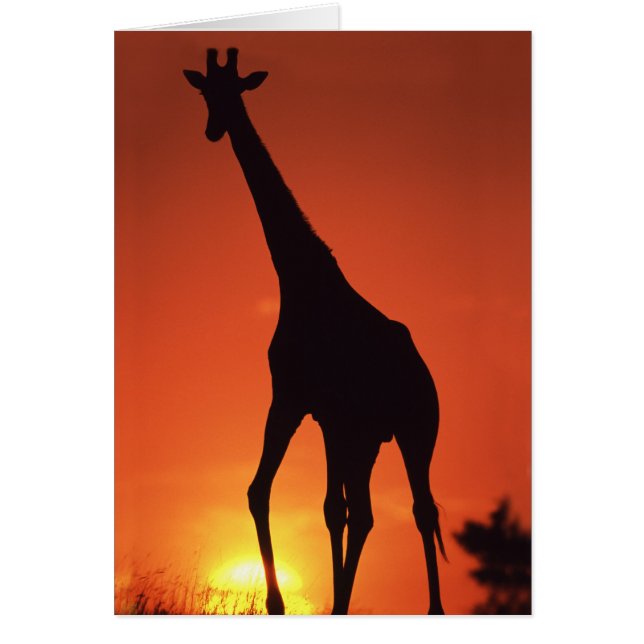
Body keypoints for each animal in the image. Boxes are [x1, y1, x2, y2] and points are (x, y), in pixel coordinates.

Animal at [184, 48, 446, 615]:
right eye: (205, 92)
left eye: (234, 89)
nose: (214, 130)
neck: (298, 277)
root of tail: (425, 373)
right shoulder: (315, 409)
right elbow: (307, 503)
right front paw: (301, 601)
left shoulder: (301, 401)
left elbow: (288, 497)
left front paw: (285, 602)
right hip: (367, 437)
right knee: (366, 512)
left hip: (417, 430)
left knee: (422, 511)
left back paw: (432, 608)